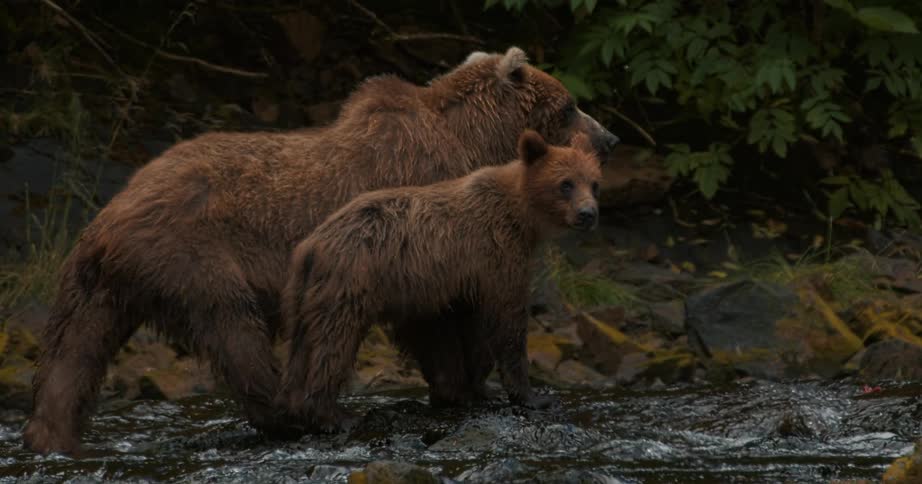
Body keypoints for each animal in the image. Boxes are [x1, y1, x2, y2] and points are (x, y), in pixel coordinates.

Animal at [277, 129, 602, 432]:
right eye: (566, 183)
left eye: (594, 182)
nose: (588, 213)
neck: (522, 217)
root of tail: (313, 244)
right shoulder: (496, 256)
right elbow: (505, 322)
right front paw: (532, 396)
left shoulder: (461, 285)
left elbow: (464, 334)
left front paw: (474, 389)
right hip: (351, 281)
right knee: (333, 341)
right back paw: (335, 415)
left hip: (303, 291)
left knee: (303, 344)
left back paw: (296, 407)